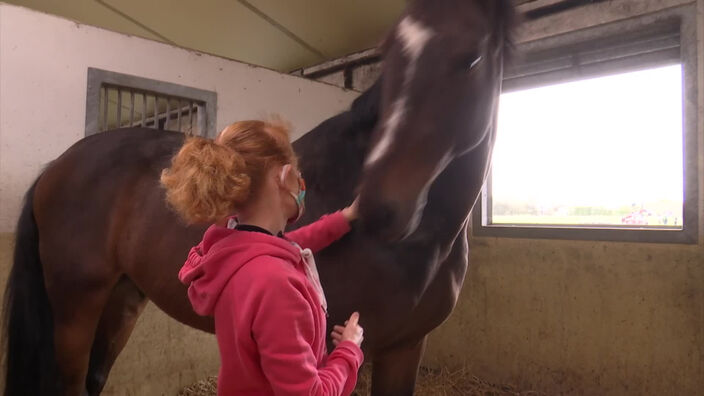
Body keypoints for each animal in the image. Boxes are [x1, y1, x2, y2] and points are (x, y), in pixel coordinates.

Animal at [2, 0, 516, 394]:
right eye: (389, 60)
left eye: (471, 59)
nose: (380, 206)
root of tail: (57, 167)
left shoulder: (405, 350)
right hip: (76, 304)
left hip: (123, 297)